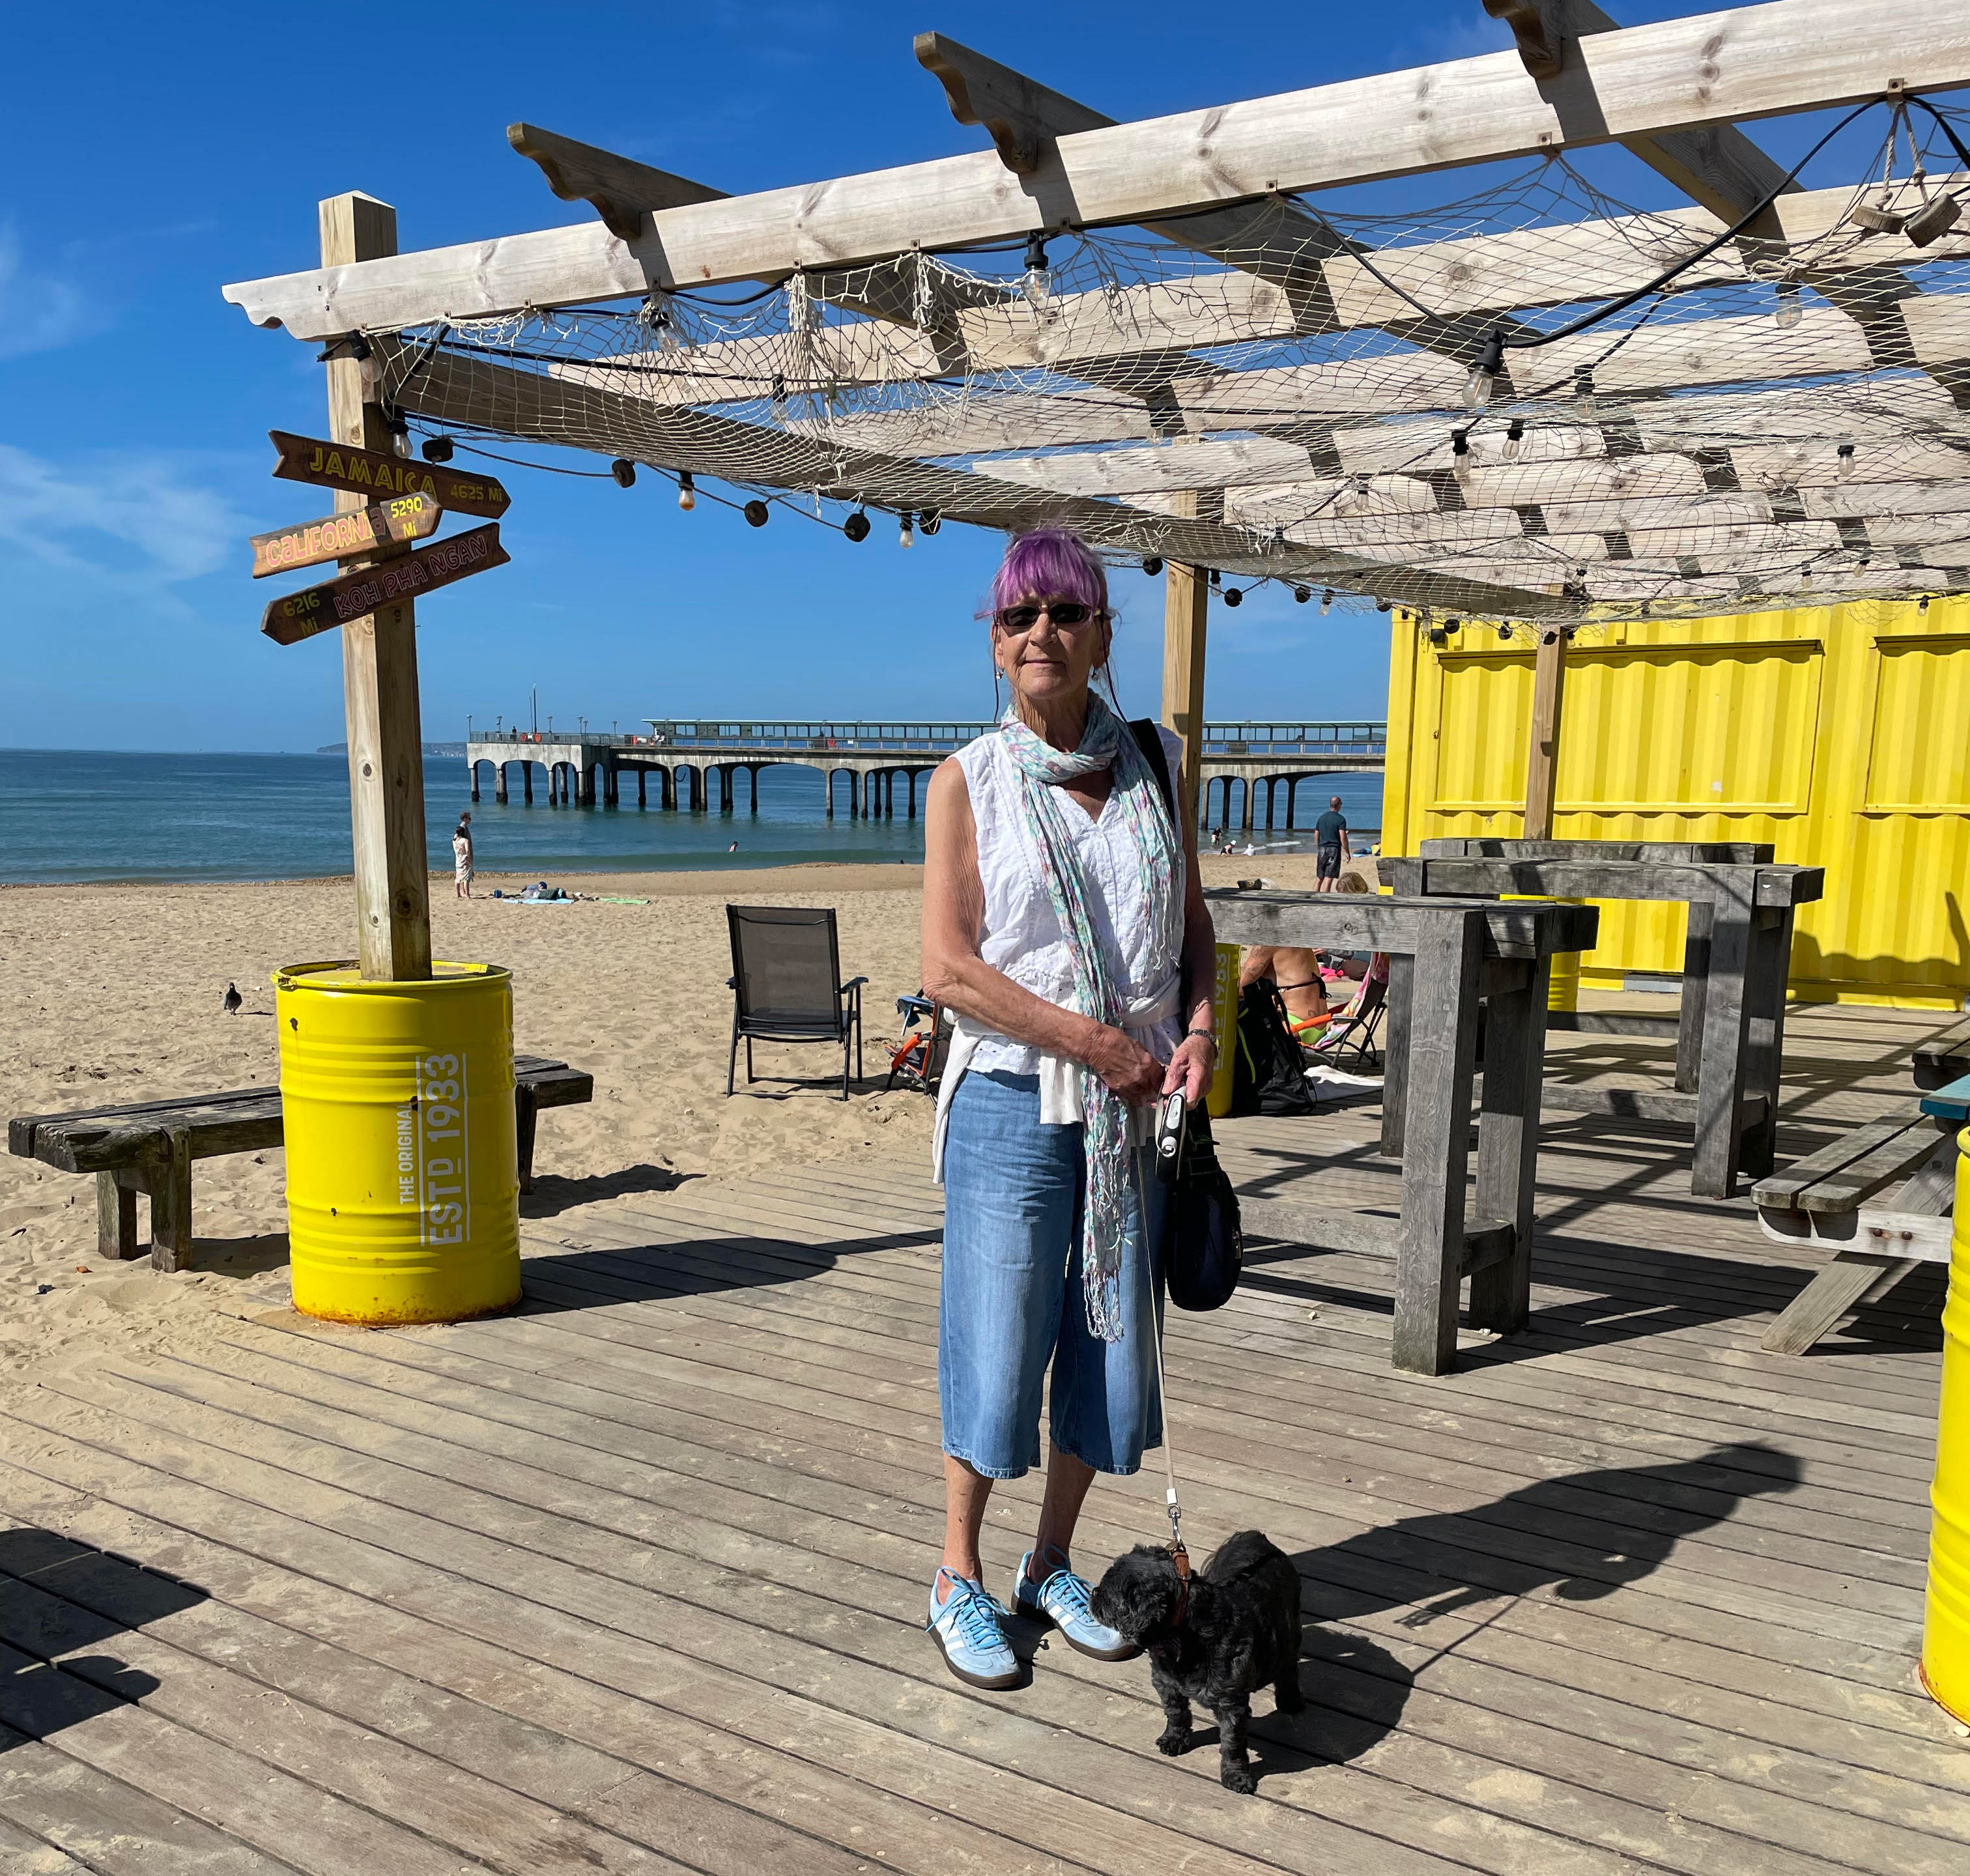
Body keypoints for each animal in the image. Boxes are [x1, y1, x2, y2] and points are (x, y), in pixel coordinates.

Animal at [1087, 1529, 1300, 1797]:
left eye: (1107, 1595)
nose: (1093, 1593)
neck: (1183, 1638)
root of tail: (1255, 1536)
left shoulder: (1232, 1703)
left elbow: (1232, 1743)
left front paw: (1236, 1776)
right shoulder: (1166, 1682)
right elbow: (1176, 1713)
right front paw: (1175, 1739)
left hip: (1289, 1628)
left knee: (1289, 1667)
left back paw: (1291, 1701)